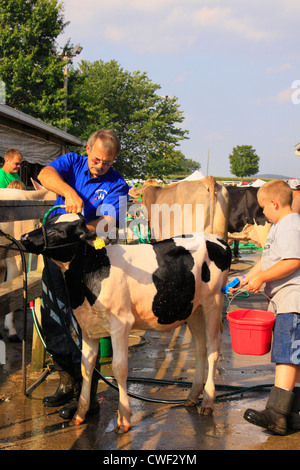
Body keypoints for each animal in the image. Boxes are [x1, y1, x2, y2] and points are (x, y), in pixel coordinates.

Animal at [21, 213, 232, 434]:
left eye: (60, 232)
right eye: (48, 222)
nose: (24, 237)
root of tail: (217, 239)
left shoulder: (120, 324)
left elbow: (119, 367)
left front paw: (124, 419)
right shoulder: (88, 327)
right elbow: (86, 367)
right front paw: (79, 414)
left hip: (213, 302)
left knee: (213, 348)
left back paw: (207, 401)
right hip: (193, 309)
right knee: (200, 347)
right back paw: (192, 397)